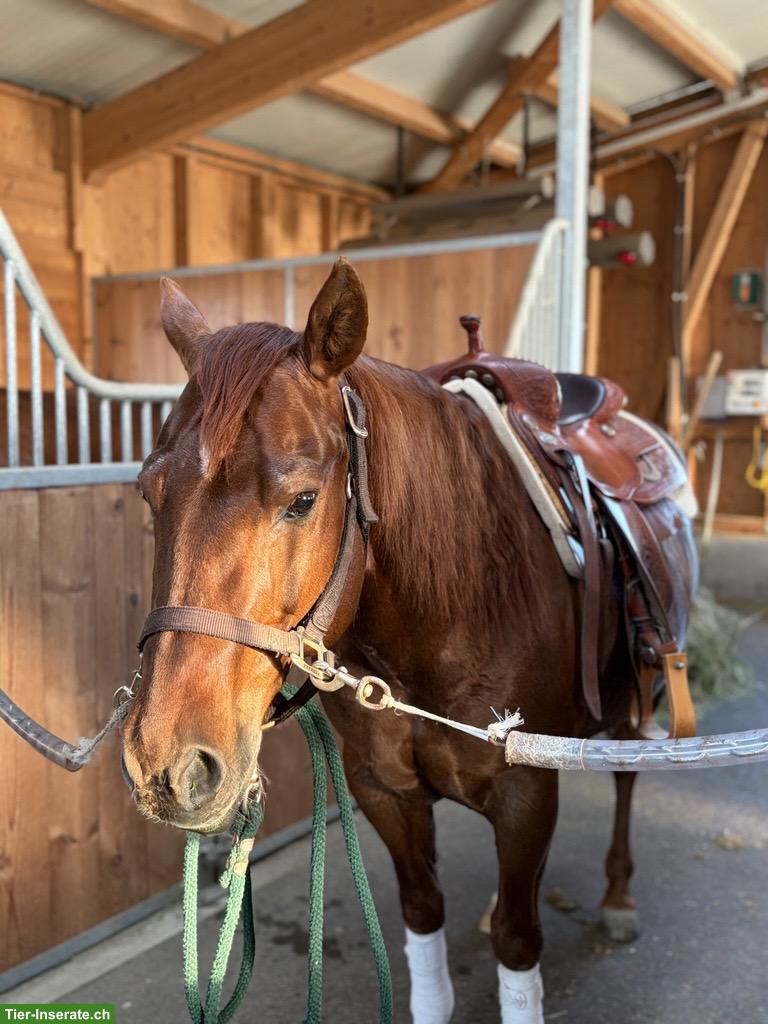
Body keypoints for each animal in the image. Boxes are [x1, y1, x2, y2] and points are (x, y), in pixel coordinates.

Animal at [121, 258, 697, 1024]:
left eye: (303, 499)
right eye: (150, 493)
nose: (168, 764)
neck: (454, 606)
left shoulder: (525, 792)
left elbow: (519, 940)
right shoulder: (383, 790)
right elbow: (424, 916)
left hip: (637, 698)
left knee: (629, 775)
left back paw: (619, 896)